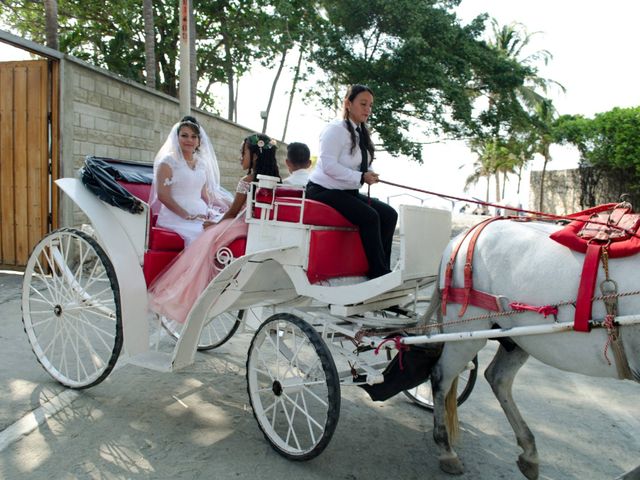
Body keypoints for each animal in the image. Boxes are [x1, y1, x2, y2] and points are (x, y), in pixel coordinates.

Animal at [430, 218, 640, 480]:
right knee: (441, 377)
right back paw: (446, 450)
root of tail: (465, 235)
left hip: (519, 337)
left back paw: (529, 451)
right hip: (467, 330)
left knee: (498, 378)